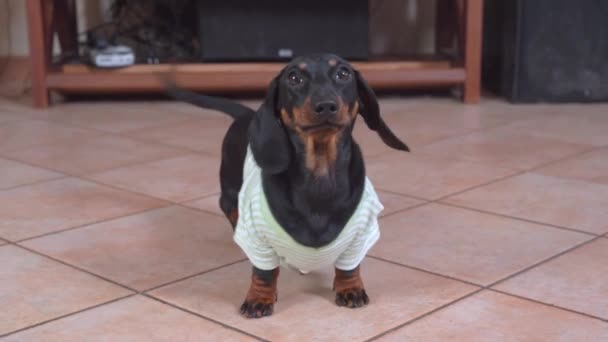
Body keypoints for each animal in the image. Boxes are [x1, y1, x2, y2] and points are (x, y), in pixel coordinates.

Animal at [167, 52, 408, 318]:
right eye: (294, 78)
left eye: (343, 73)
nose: (326, 105)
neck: (320, 173)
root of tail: (246, 115)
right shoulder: (258, 236)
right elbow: (264, 272)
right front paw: (259, 298)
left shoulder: (361, 232)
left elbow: (349, 266)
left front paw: (350, 288)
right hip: (230, 193)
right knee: (231, 210)